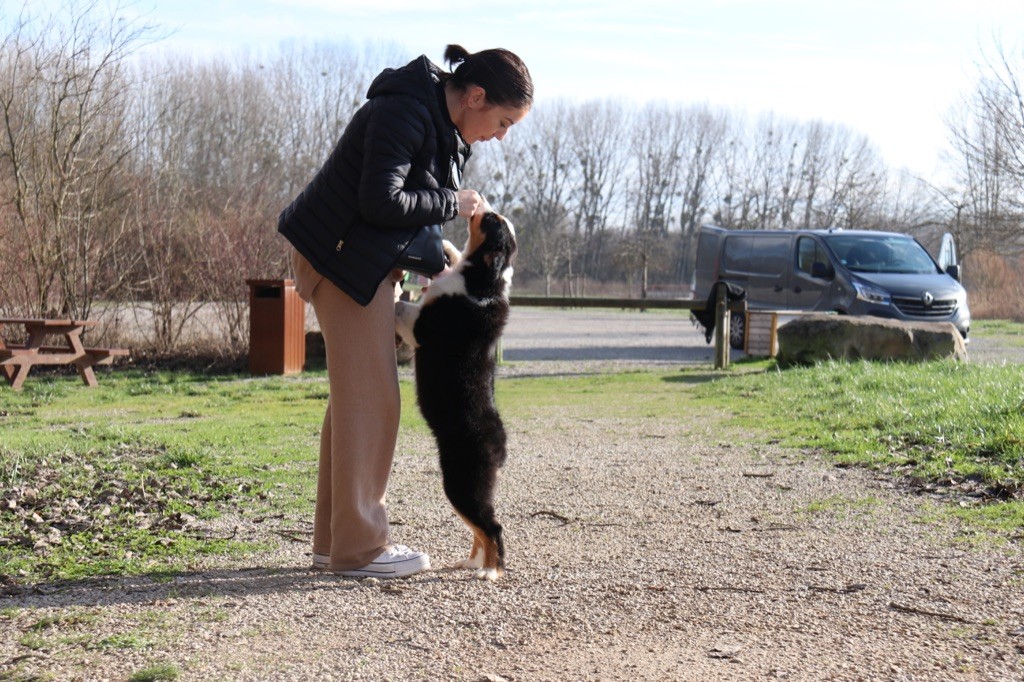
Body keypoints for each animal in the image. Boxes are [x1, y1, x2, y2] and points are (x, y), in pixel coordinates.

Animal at [395, 206, 516, 581]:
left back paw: (491, 572)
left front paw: (393, 292)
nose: (485, 208)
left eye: (493, 222)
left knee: (493, 527)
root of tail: (500, 446)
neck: (483, 281)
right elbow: (451, 257)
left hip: (462, 486)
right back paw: (473, 562)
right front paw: (447, 249)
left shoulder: (420, 326)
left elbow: (400, 307)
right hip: (461, 488)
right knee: (479, 529)